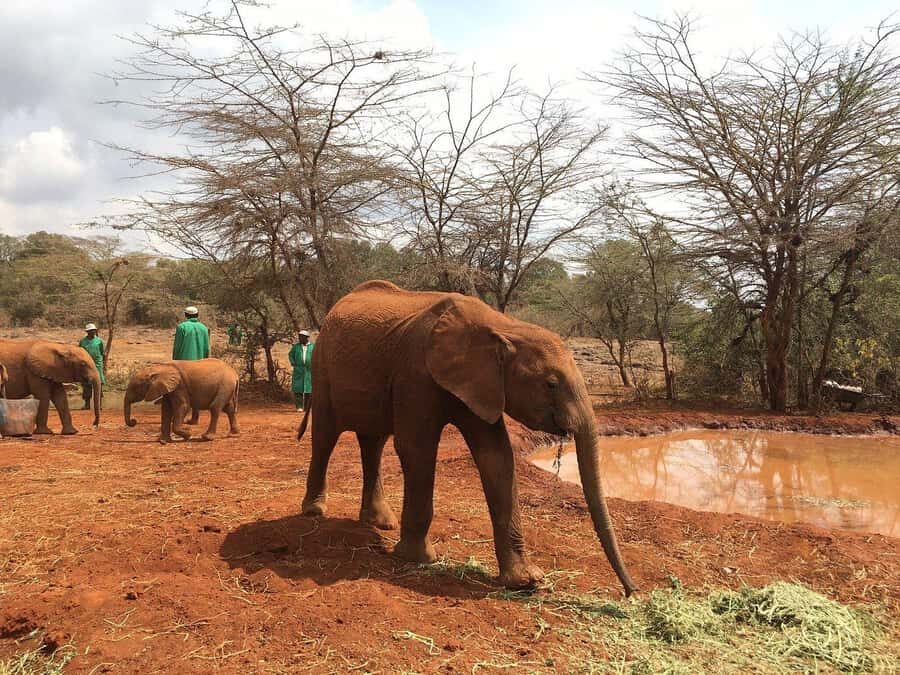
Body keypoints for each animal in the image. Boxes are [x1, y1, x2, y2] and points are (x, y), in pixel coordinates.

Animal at [297, 280, 637, 595]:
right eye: (551, 384)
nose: (630, 592)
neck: (503, 327)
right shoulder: (415, 374)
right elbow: (416, 448)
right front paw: (418, 559)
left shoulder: (483, 384)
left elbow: (497, 455)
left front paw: (525, 581)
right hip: (322, 367)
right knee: (325, 437)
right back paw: (314, 512)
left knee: (374, 442)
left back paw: (380, 523)